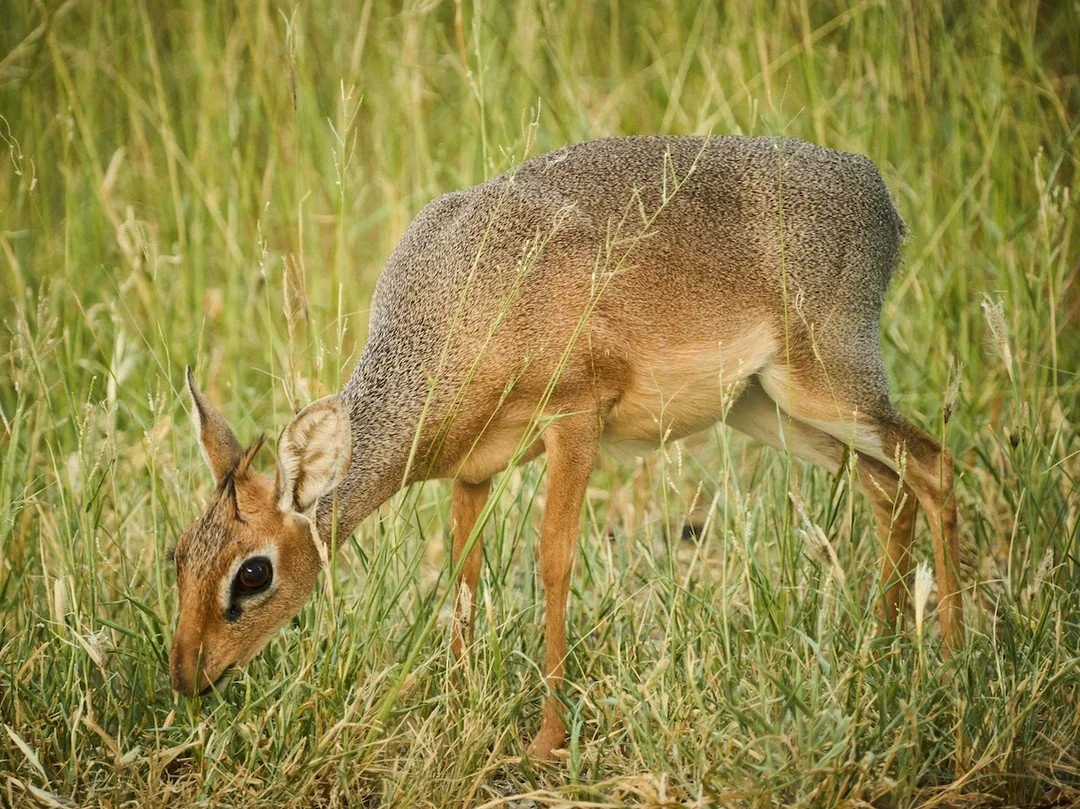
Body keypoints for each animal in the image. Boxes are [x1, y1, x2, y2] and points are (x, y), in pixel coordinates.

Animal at [168, 135, 964, 759]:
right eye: (179, 554)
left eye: (252, 573)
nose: (185, 675)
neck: (461, 301)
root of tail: (875, 190)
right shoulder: (472, 471)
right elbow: (464, 578)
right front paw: (456, 705)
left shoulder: (575, 419)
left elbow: (555, 564)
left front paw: (546, 738)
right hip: (770, 408)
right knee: (888, 488)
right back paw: (883, 656)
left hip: (828, 387)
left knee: (933, 464)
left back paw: (954, 667)